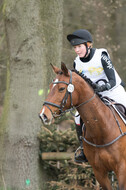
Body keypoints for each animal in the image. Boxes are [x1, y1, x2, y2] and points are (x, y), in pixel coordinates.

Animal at [39, 62, 126, 190]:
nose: (43, 115)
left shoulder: (122, 169)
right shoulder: (99, 172)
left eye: (61, 88)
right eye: (50, 87)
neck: (102, 131)